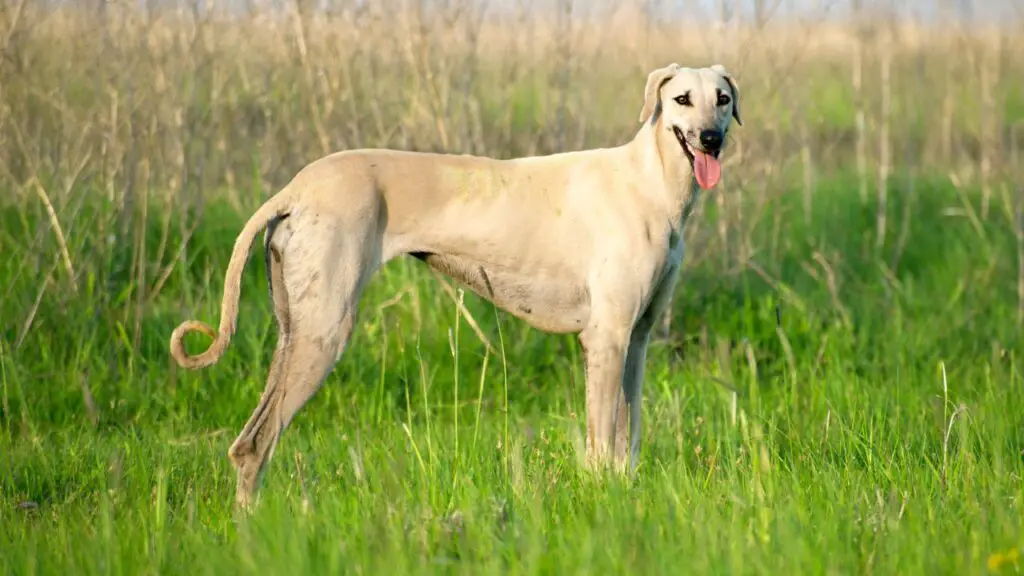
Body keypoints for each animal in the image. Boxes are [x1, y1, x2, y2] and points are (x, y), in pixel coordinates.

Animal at [169, 60, 745, 504]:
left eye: (722, 99)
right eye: (681, 99)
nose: (711, 139)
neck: (649, 181)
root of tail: (295, 187)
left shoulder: (636, 341)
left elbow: (628, 438)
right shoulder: (605, 340)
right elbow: (601, 445)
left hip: (295, 331)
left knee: (251, 441)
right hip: (324, 334)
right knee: (254, 444)